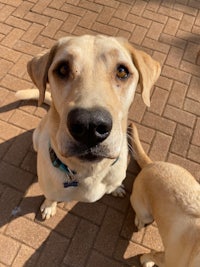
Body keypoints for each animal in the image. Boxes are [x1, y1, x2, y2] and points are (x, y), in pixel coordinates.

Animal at [16, 35, 161, 220]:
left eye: (122, 71)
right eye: (63, 69)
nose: (89, 126)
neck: (90, 174)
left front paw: (116, 189)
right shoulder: (50, 189)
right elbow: (50, 197)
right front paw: (49, 206)